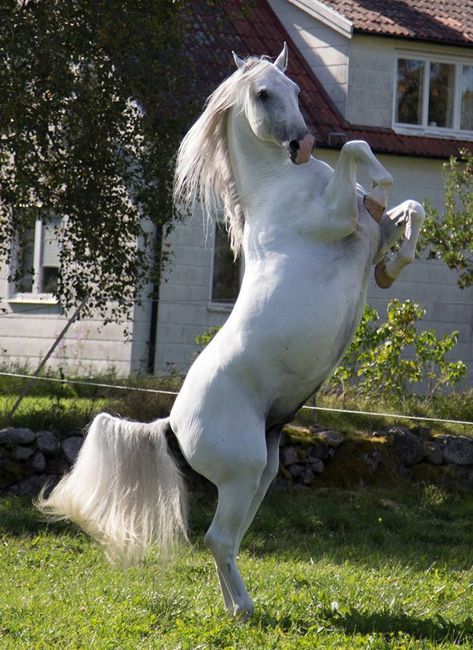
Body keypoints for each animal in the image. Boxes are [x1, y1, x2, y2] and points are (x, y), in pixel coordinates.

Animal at [37, 46, 424, 616]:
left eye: (296, 89)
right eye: (263, 94)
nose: (303, 146)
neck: (282, 187)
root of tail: (171, 425)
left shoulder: (369, 235)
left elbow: (410, 211)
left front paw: (393, 266)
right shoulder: (333, 218)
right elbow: (360, 152)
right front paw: (377, 194)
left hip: (262, 472)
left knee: (227, 541)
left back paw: (237, 605)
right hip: (244, 471)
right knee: (218, 539)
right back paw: (242, 611)